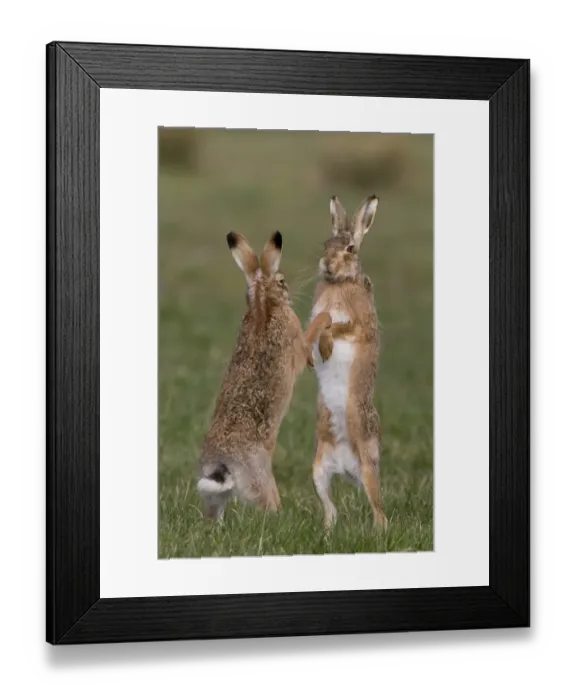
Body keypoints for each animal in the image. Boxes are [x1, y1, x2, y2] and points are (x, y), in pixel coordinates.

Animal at [197, 230, 332, 521]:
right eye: (281, 281)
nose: (289, 291)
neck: (263, 302)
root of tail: (223, 464)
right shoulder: (297, 342)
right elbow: (314, 331)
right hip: (261, 480)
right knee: (267, 505)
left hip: (214, 495)